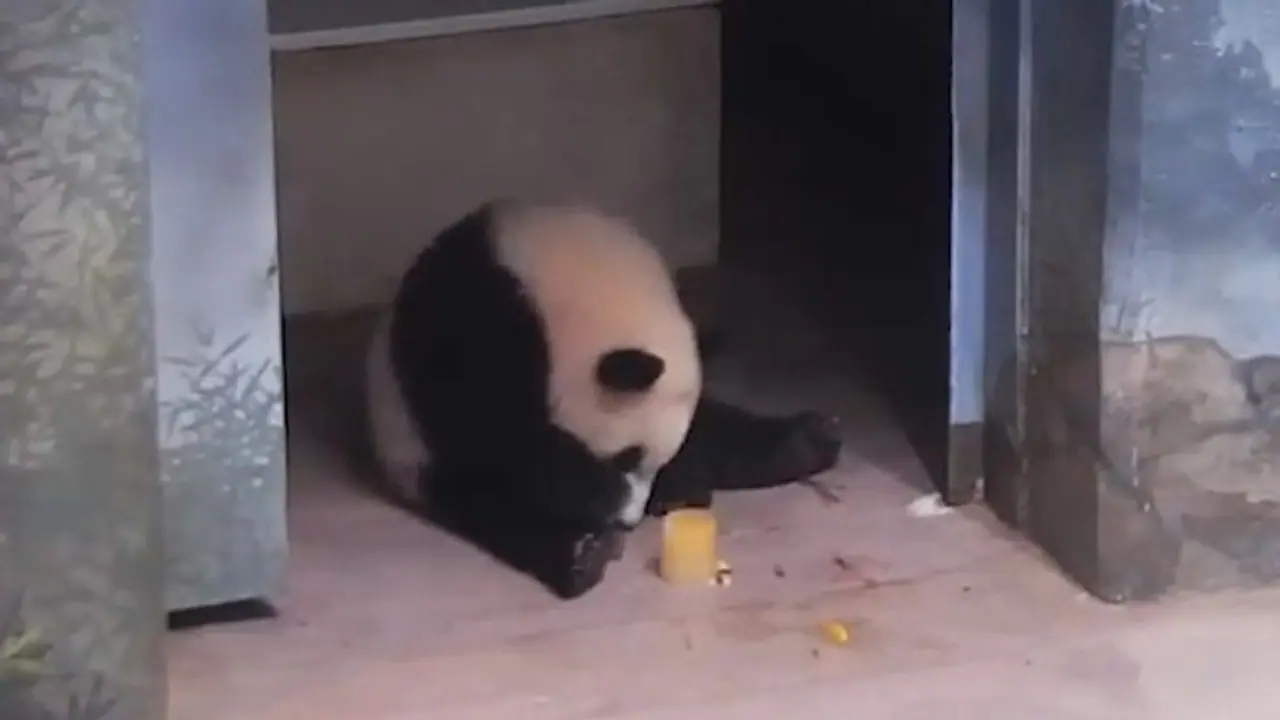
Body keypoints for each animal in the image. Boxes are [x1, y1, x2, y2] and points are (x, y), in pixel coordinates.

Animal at [365, 199, 842, 599]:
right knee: (486, 503)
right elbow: (498, 436)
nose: (627, 518)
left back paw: (805, 443)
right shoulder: (474, 322)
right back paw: (580, 554)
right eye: (626, 456)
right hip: (415, 455)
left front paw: (675, 480)